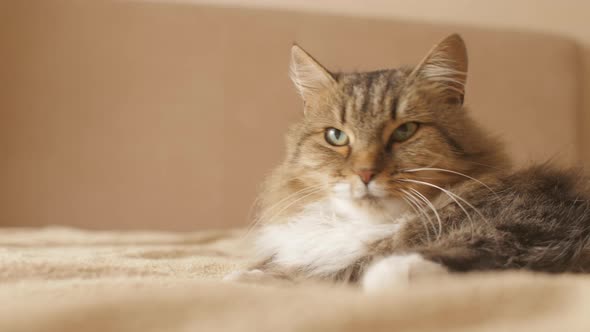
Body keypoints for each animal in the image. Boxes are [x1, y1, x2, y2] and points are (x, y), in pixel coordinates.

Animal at [225, 35, 590, 292]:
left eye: (404, 131)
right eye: (336, 136)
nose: (365, 173)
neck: (375, 225)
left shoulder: (536, 223)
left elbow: (349, 270)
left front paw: (393, 269)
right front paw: (248, 276)